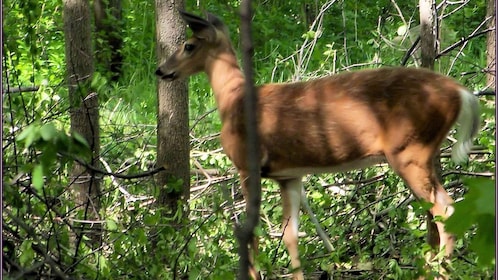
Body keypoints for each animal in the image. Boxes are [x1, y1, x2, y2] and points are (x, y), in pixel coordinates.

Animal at [155, 10, 478, 280]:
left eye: (188, 46)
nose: (160, 70)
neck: (232, 101)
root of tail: (462, 93)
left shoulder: (247, 165)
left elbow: (253, 230)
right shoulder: (289, 175)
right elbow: (290, 234)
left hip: (408, 151)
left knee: (445, 212)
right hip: (424, 152)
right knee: (440, 214)